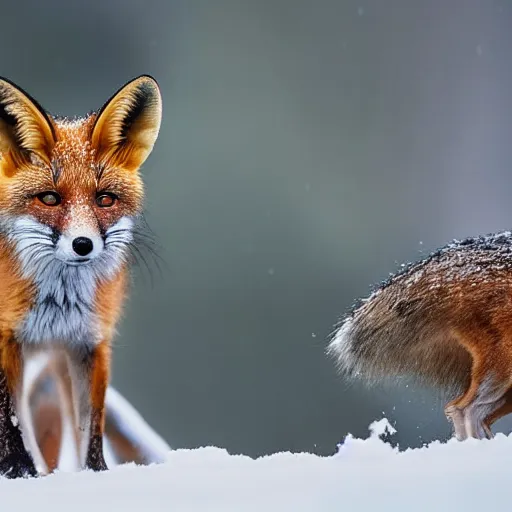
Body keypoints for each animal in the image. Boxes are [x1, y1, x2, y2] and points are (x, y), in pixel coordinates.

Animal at [0, 75, 162, 476]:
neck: (57, 300)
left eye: (105, 199)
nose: (83, 245)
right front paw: (18, 469)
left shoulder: (88, 340)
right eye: (49, 199)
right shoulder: (6, 337)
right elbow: (10, 418)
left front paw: (95, 475)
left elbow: (91, 425)